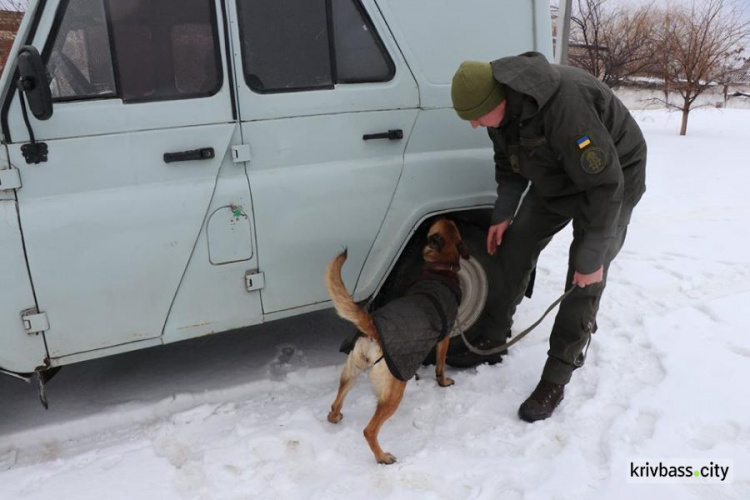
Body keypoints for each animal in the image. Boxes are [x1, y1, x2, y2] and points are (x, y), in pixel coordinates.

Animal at [324, 219, 470, 464]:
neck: (441, 268)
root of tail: (373, 328)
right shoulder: (445, 338)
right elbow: (440, 365)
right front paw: (443, 381)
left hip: (351, 372)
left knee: (336, 402)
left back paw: (335, 416)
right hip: (394, 390)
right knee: (369, 430)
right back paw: (382, 456)